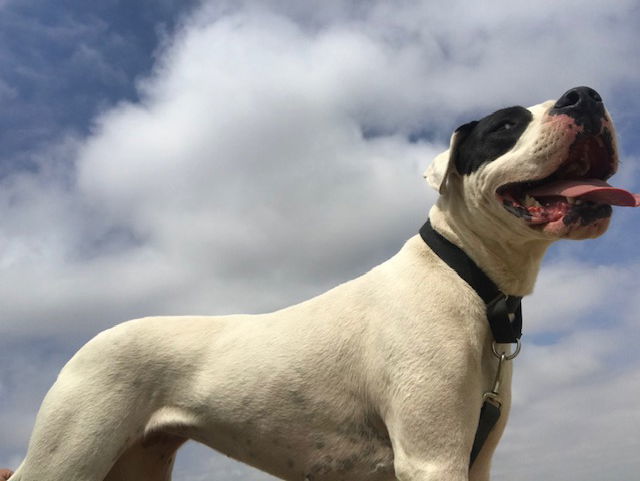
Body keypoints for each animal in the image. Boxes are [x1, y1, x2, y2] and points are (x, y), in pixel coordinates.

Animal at [3, 86, 636, 480]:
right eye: (506, 125)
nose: (586, 95)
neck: (466, 275)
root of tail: (89, 340)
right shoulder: (432, 456)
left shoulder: (473, 460)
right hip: (68, 455)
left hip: (135, 463)